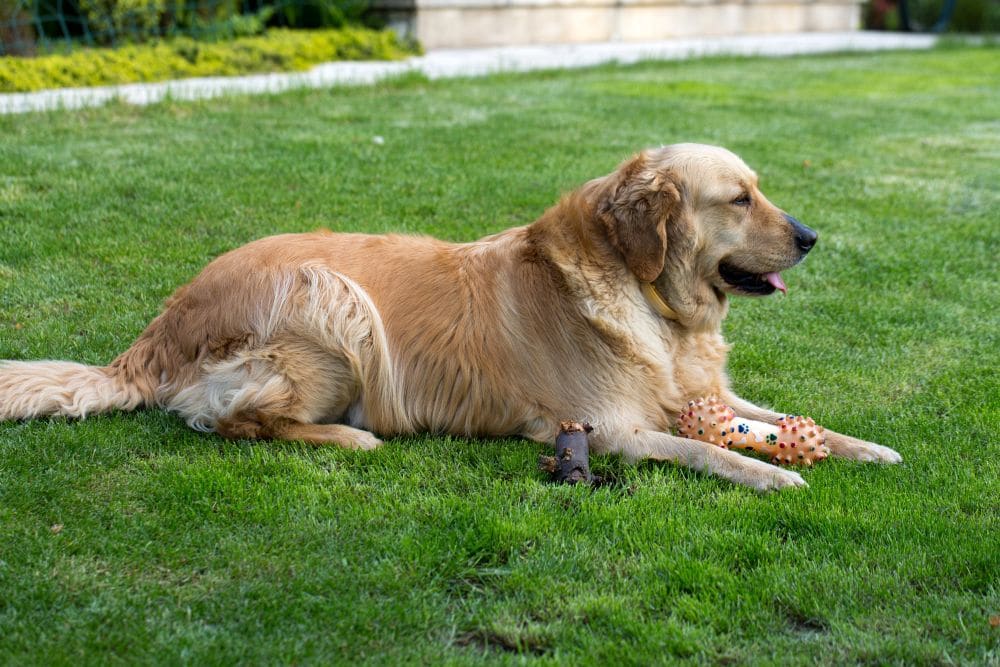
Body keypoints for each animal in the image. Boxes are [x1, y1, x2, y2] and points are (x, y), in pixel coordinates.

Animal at [0, 144, 904, 494]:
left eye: (761, 188)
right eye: (740, 198)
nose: (811, 236)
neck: (644, 294)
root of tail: (162, 325)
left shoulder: (695, 390)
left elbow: (780, 417)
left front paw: (864, 447)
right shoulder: (607, 427)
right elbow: (705, 450)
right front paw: (772, 473)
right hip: (332, 297)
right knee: (229, 421)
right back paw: (351, 435)